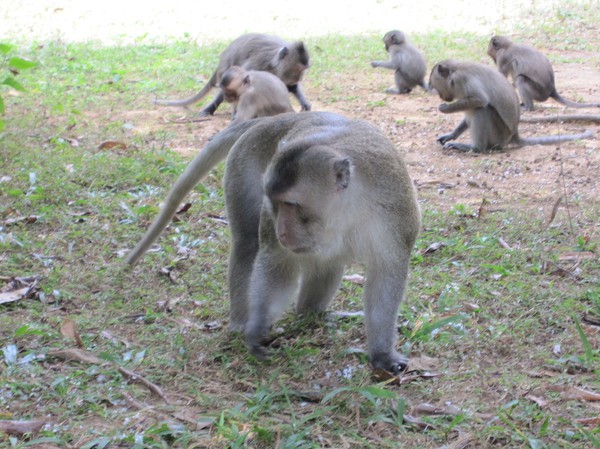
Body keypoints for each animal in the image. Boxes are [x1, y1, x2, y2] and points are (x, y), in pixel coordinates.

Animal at [125, 112, 422, 374]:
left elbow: (386, 275)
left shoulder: (394, 211)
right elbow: (278, 264)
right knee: (247, 243)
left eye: (291, 204)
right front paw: (257, 328)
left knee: (327, 261)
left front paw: (382, 354)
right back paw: (242, 323)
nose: (282, 232)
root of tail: (273, 119)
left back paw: (311, 313)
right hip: (244, 159)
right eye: (275, 204)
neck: (348, 207)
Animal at [152, 33, 312, 117]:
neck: (274, 65)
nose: (300, 78)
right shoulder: (256, 67)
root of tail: (221, 60)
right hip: (225, 68)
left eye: (304, 70)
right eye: (299, 70)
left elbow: (290, 88)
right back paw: (210, 109)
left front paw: (304, 103)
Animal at [428, 59, 592, 152]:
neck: (455, 71)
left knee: (482, 110)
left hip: (499, 135)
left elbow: (480, 100)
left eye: (436, 87)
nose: (441, 96)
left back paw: (475, 148)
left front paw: (445, 109)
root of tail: (513, 134)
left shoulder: (462, 79)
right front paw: (451, 135)